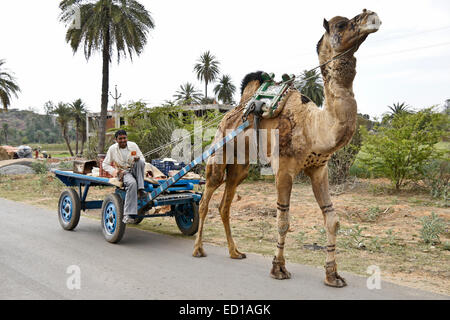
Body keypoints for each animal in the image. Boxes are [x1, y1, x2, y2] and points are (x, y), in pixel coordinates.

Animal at [192, 8, 382, 288]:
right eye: (341, 24)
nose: (372, 16)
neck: (314, 125)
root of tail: (230, 114)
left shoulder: (319, 169)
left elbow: (332, 220)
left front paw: (333, 275)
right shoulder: (283, 169)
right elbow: (283, 220)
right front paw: (279, 268)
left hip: (240, 167)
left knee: (224, 206)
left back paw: (235, 252)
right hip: (219, 154)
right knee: (205, 200)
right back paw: (198, 249)